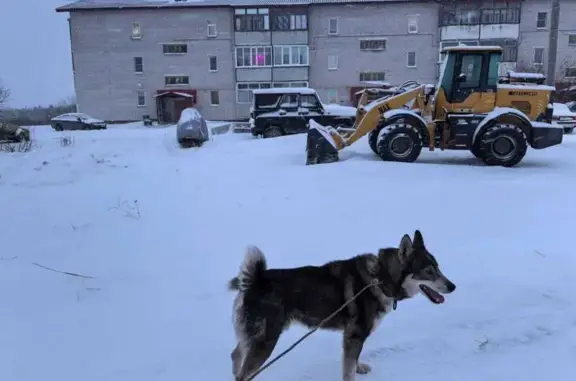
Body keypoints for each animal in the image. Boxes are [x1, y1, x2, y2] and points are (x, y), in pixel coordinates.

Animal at [227, 229, 456, 380]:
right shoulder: (354, 335)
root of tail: (255, 280)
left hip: (252, 337)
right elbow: (348, 368)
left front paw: (360, 367)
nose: (452, 286)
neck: (381, 278)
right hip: (265, 341)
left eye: (438, 268)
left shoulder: (354, 335)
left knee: (236, 355)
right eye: (428, 272)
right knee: (243, 372)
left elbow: (354, 361)